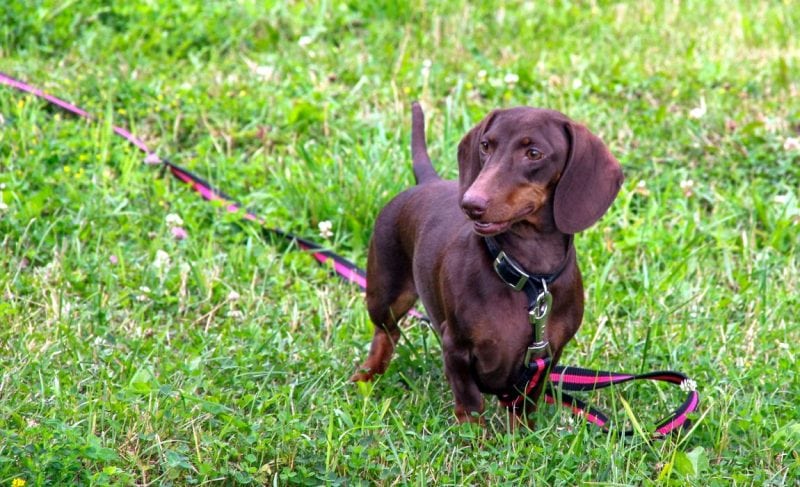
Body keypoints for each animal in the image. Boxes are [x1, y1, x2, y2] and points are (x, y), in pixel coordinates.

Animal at [352, 102, 624, 424]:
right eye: (485, 145)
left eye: (534, 153)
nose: (471, 204)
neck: (526, 276)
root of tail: (428, 181)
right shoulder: (455, 346)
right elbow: (470, 403)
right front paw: (475, 436)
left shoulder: (546, 357)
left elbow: (524, 404)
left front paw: (522, 432)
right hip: (385, 293)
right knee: (386, 331)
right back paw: (366, 377)